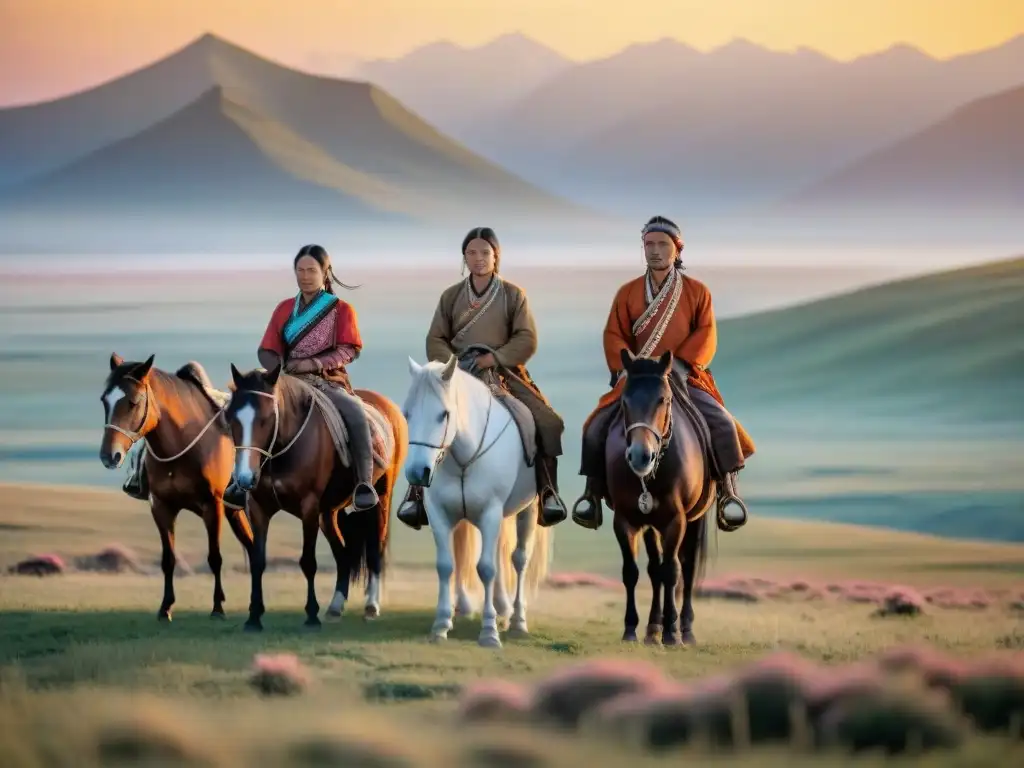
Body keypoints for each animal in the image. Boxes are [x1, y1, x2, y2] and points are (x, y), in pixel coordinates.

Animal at [98, 352, 256, 622]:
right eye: (104, 401)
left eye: (133, 402)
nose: (110, 456)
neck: (182, 444)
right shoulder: (161, 507)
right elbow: (168, 559)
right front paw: (165, 608)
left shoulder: (212, 506)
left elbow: (215, 557)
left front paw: (217, 608)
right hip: (234, 510)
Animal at [227, 364, 407, 634]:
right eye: (231, 418)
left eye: (267, 418)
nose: (245, 478)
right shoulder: (258, 509)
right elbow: (258, 560)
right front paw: (254, 617)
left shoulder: (308, 507)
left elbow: (308, 561)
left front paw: (311, 615)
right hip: (328, 514)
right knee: (343, 555)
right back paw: (335, 606)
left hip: (380, 499)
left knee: (376, 550)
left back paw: (371, 606)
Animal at [403, 356, 557, 651]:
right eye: (407, 414)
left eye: (444, 414)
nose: (417, 473)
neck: (463, 457)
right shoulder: (440, 515)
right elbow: (446, 565)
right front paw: (441, 625)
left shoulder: (490, 513)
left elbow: (486, 569)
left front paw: (489, 632)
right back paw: (502, 609)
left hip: (527, 510)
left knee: (519, 559)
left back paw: (517, 621)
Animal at [602, 352, 708, 647]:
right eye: (624, 401)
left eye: (663, 400)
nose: (641, 456)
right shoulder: (624, 520)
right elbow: (632, 571)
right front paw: (630, 628)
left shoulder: (676, 521)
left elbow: (672, 571)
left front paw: (672, 633)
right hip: (650, 525)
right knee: (654, 569)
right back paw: (652, 629)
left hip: (695, 517)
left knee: (686, 566)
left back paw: (686, 629)